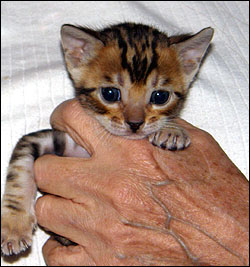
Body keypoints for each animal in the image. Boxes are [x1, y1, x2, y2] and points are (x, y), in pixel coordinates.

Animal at [1, 23, 213, 258]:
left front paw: (172, 130)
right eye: (110, 93)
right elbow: (19, 173)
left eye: (160, 97)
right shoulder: (44, 139)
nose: (135, 123)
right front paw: (14, 226)